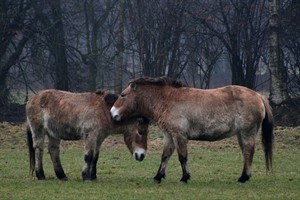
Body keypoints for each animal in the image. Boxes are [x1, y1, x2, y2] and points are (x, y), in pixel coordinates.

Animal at [110, 77, 274, 184]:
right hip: (241, 134)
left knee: (248, 152)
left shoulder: (179, 136)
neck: (168, 100)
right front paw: (158, 177)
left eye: (123, 95)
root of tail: (259, 95)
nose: (112, 114)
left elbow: (182, 157)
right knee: (246, 153)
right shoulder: (169, 136)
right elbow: (165, 156)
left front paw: (184, 178)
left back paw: (243, 178)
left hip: (247, 133)